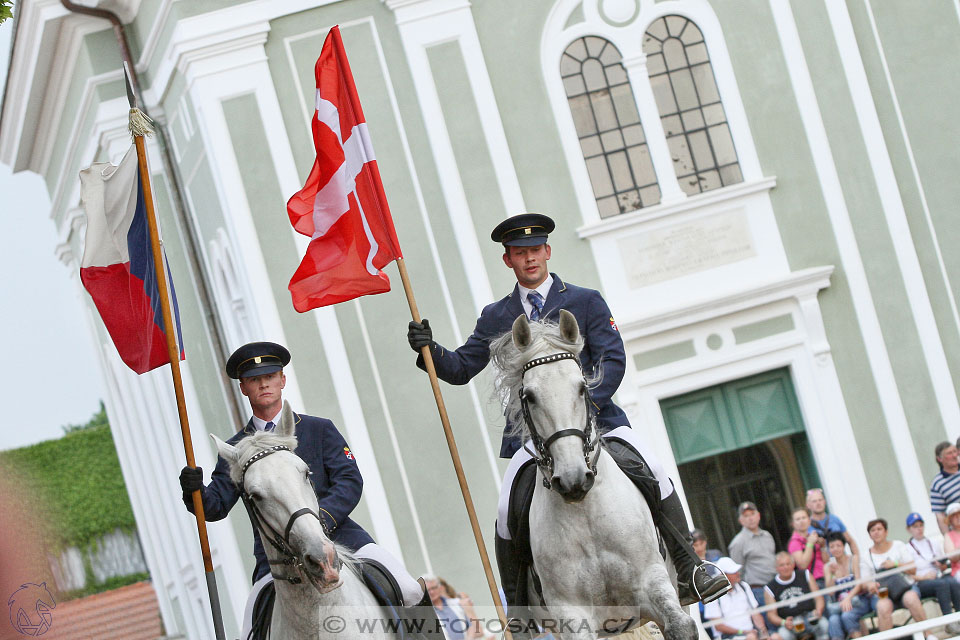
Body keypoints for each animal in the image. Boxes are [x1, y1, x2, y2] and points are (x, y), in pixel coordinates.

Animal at [492, 312, 700, 640]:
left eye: (581, 387)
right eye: (530, 396)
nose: (573, 479)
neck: (586, 512)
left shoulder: (651, 580)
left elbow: (680, 626)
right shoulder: (570, 612)